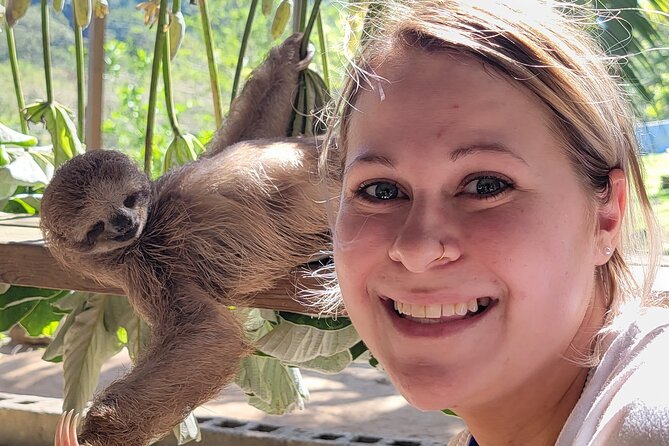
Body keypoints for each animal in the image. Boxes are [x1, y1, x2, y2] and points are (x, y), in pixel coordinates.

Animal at [41, 33, 335, 446]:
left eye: (128, 199)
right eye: (96, 227)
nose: (124, 222)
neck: (149, 227)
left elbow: (240, 138)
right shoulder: (151, 269)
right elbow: (207, 334)